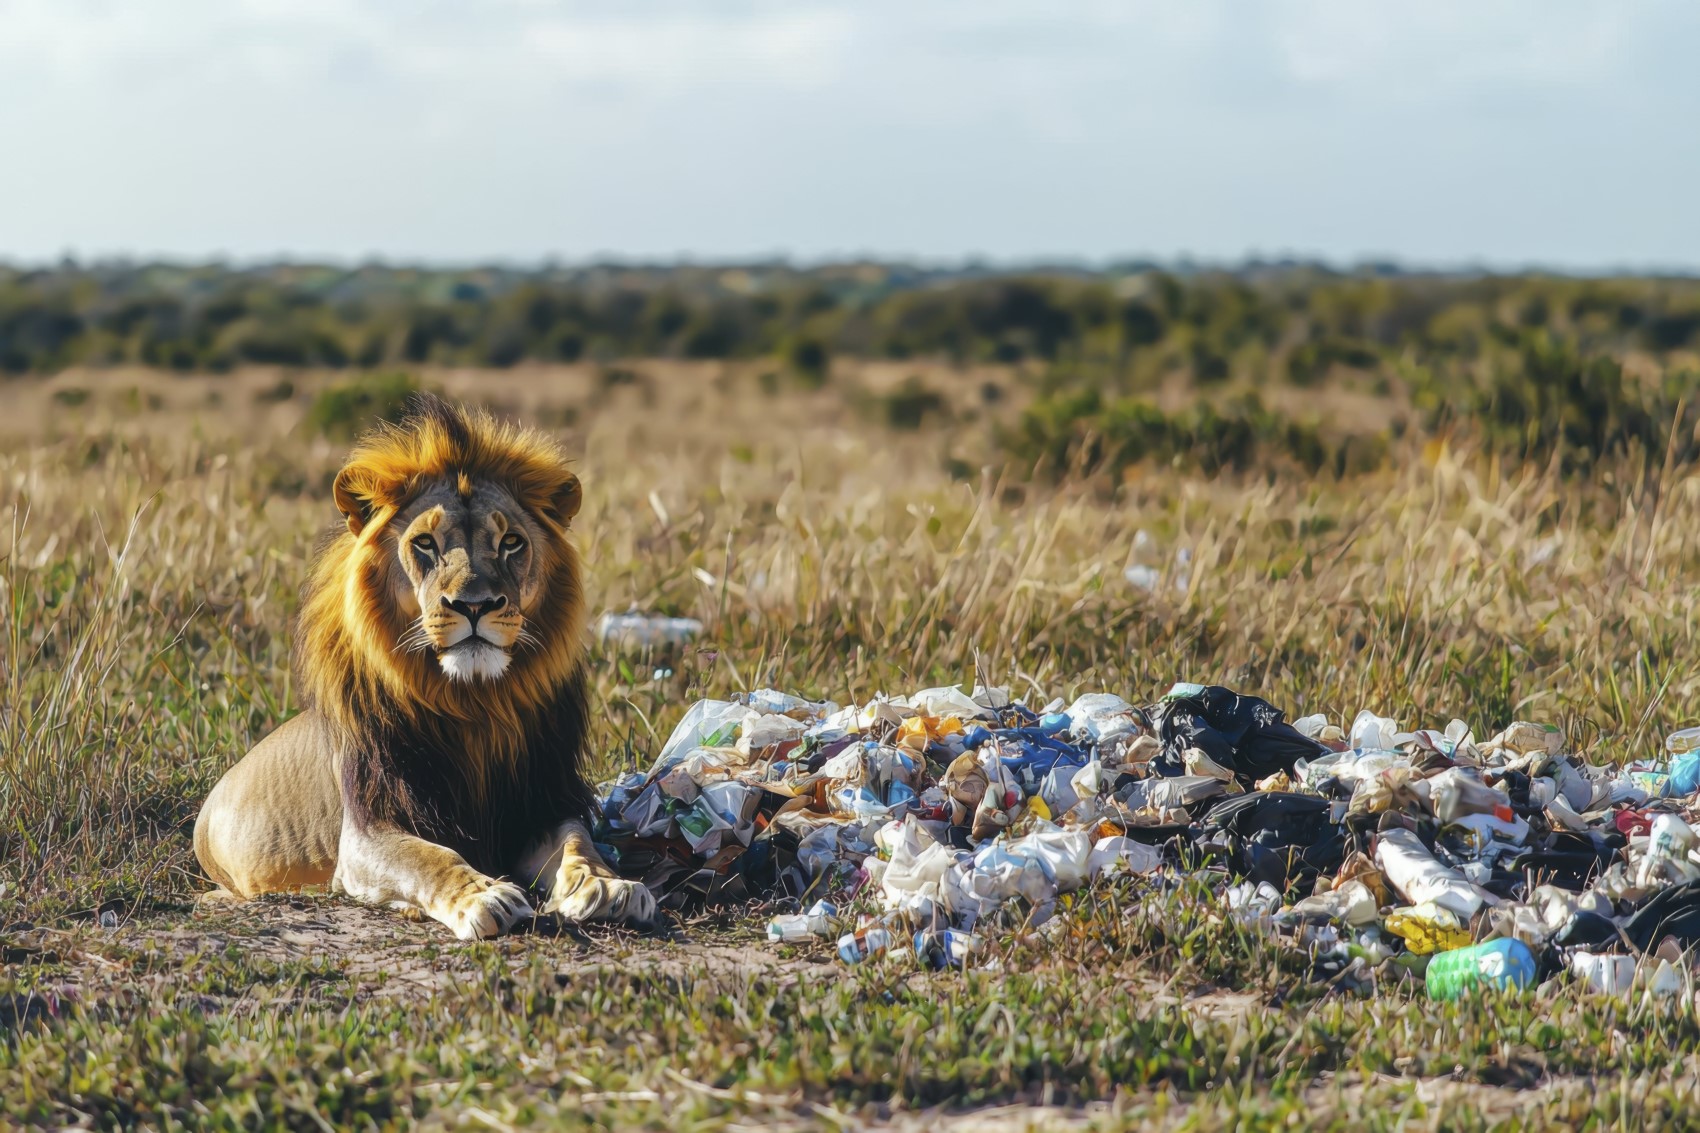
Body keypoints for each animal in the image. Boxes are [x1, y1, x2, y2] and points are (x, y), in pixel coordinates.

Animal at [192, 396, 656, 932]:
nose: (475, 604)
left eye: (511, 543)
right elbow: (431, 857)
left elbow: (579, 843)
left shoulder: (544, 805)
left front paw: (608, 885)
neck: (475, 703)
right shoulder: (367, 830)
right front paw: (485, 895)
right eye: (425, 544)